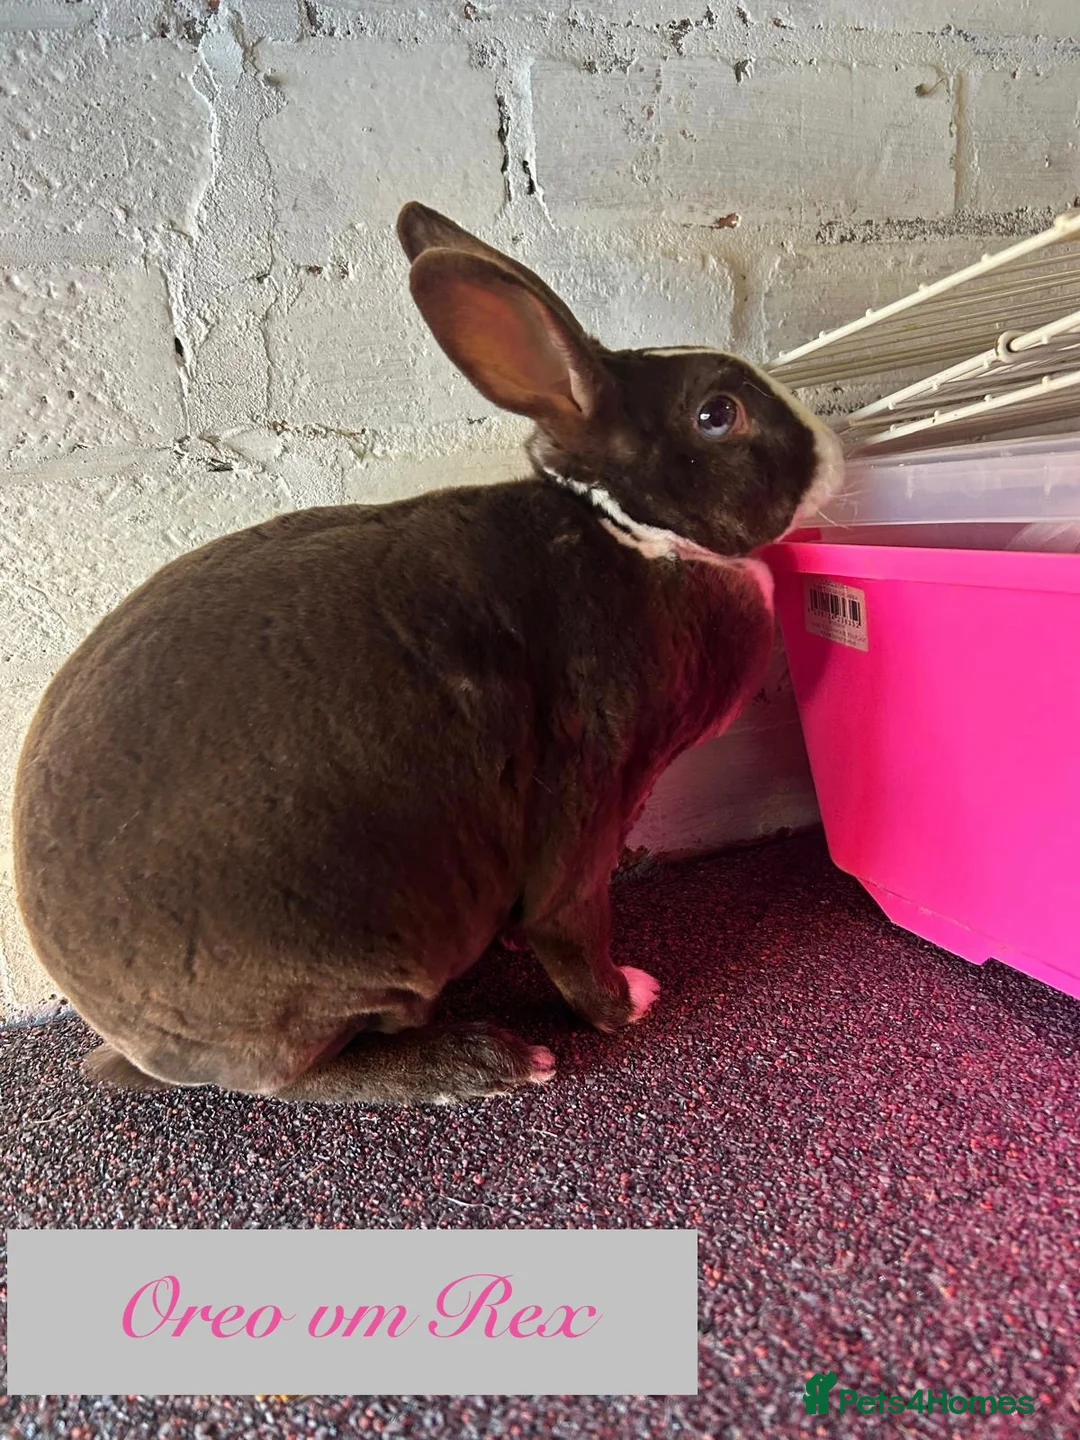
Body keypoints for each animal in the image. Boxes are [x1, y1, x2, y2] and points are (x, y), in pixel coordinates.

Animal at [12, 202, 843, 1107]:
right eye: (718, 415)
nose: (835, 449)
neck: (628, 527)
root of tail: (122, 1034)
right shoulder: (595, 787)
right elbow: (568, 924)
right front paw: (629, 1001)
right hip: (352, 969)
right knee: (305, 1079)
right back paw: (492, 1060)